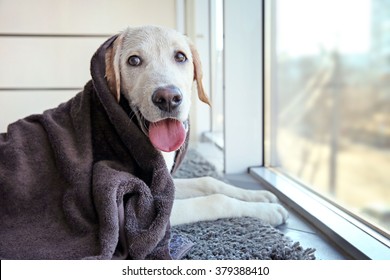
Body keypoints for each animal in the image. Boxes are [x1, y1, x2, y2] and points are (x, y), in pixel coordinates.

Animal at [105, 25, 288, 228]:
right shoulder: (143, 212)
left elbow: (209, 181)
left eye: (180, 57)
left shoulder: (167, 185)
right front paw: (266, 211)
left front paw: (258, 196)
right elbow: (217, 200)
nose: (168, 98)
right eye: (134, 60)